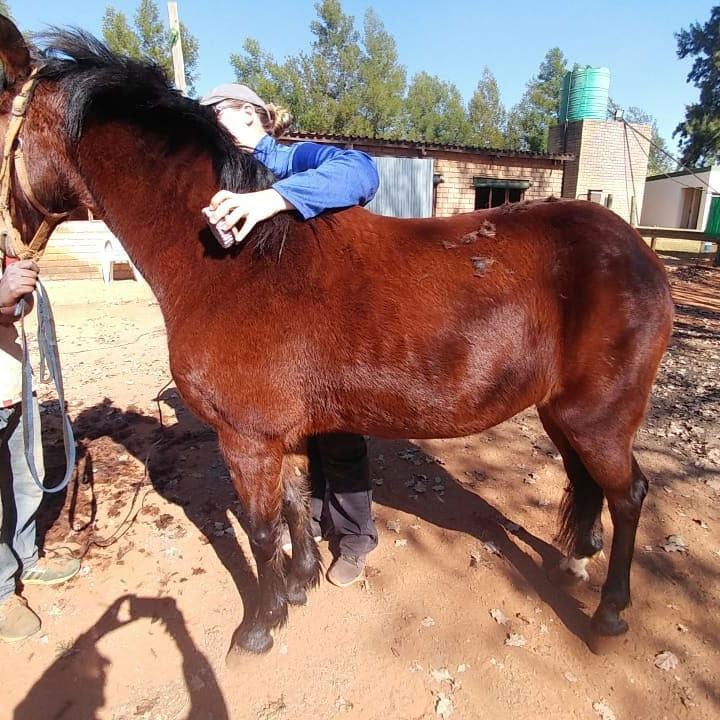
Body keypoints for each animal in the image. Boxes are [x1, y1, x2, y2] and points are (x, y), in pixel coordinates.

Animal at [0, 19, 674, 659]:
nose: (11, 268)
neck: (239, 259)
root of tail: (639, 253)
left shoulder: (246, 440)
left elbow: (261, 528)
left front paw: (260, 625)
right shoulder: (284, 434)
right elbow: (297, 501)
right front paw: (299, 584)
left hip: (598, 418)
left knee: (630, 494)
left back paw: (610, 613)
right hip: (563, 414)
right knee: (590, 484)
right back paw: (576, 561)